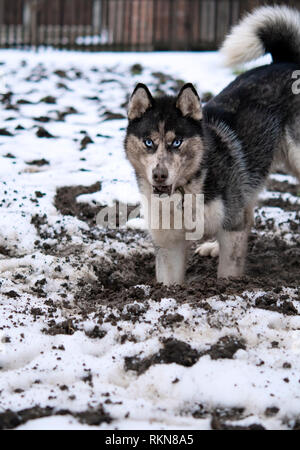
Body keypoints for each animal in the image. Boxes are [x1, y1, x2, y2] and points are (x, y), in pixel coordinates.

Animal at [124, 6, 300, 284]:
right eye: (148, 142)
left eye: (177, 142)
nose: (160, 175)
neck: (184, 192)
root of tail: (285, 62)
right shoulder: (169, 243)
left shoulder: (231, 228)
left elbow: (228, 270)